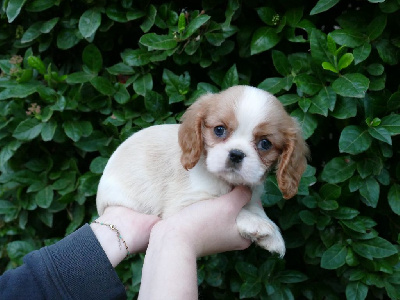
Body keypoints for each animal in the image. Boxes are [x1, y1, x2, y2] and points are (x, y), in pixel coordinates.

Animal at [97, 85, 310, 256]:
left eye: (265, 143)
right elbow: (236, 210)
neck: (225, 182)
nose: (236, 154)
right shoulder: (183, 204)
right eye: (219, 130)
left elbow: (256, 209)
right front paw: (256, 224)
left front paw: (271, 233)